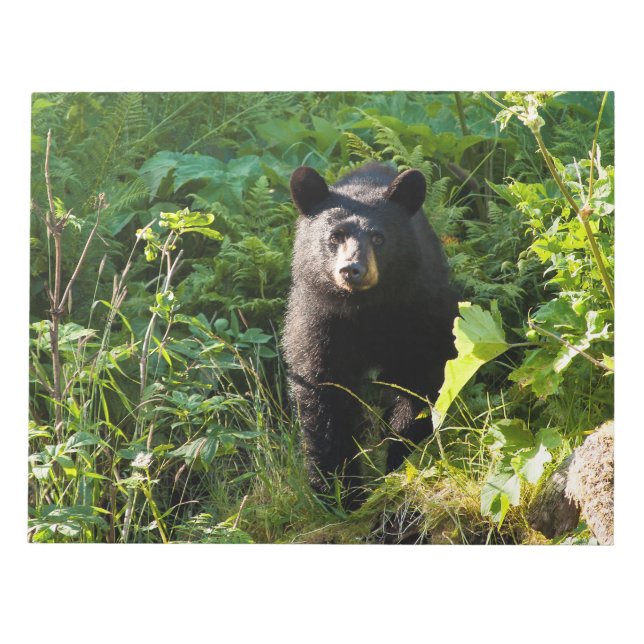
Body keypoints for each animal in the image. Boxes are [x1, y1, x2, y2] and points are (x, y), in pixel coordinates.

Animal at [283, 163, 458, 507]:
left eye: (378, 237)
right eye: (335, 236)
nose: (352, 269)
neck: (366, 309)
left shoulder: (419, 313)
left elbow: (421, 380)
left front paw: (398, 458)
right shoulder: (319, 322)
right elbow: (324, 395)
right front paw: (339, 492)